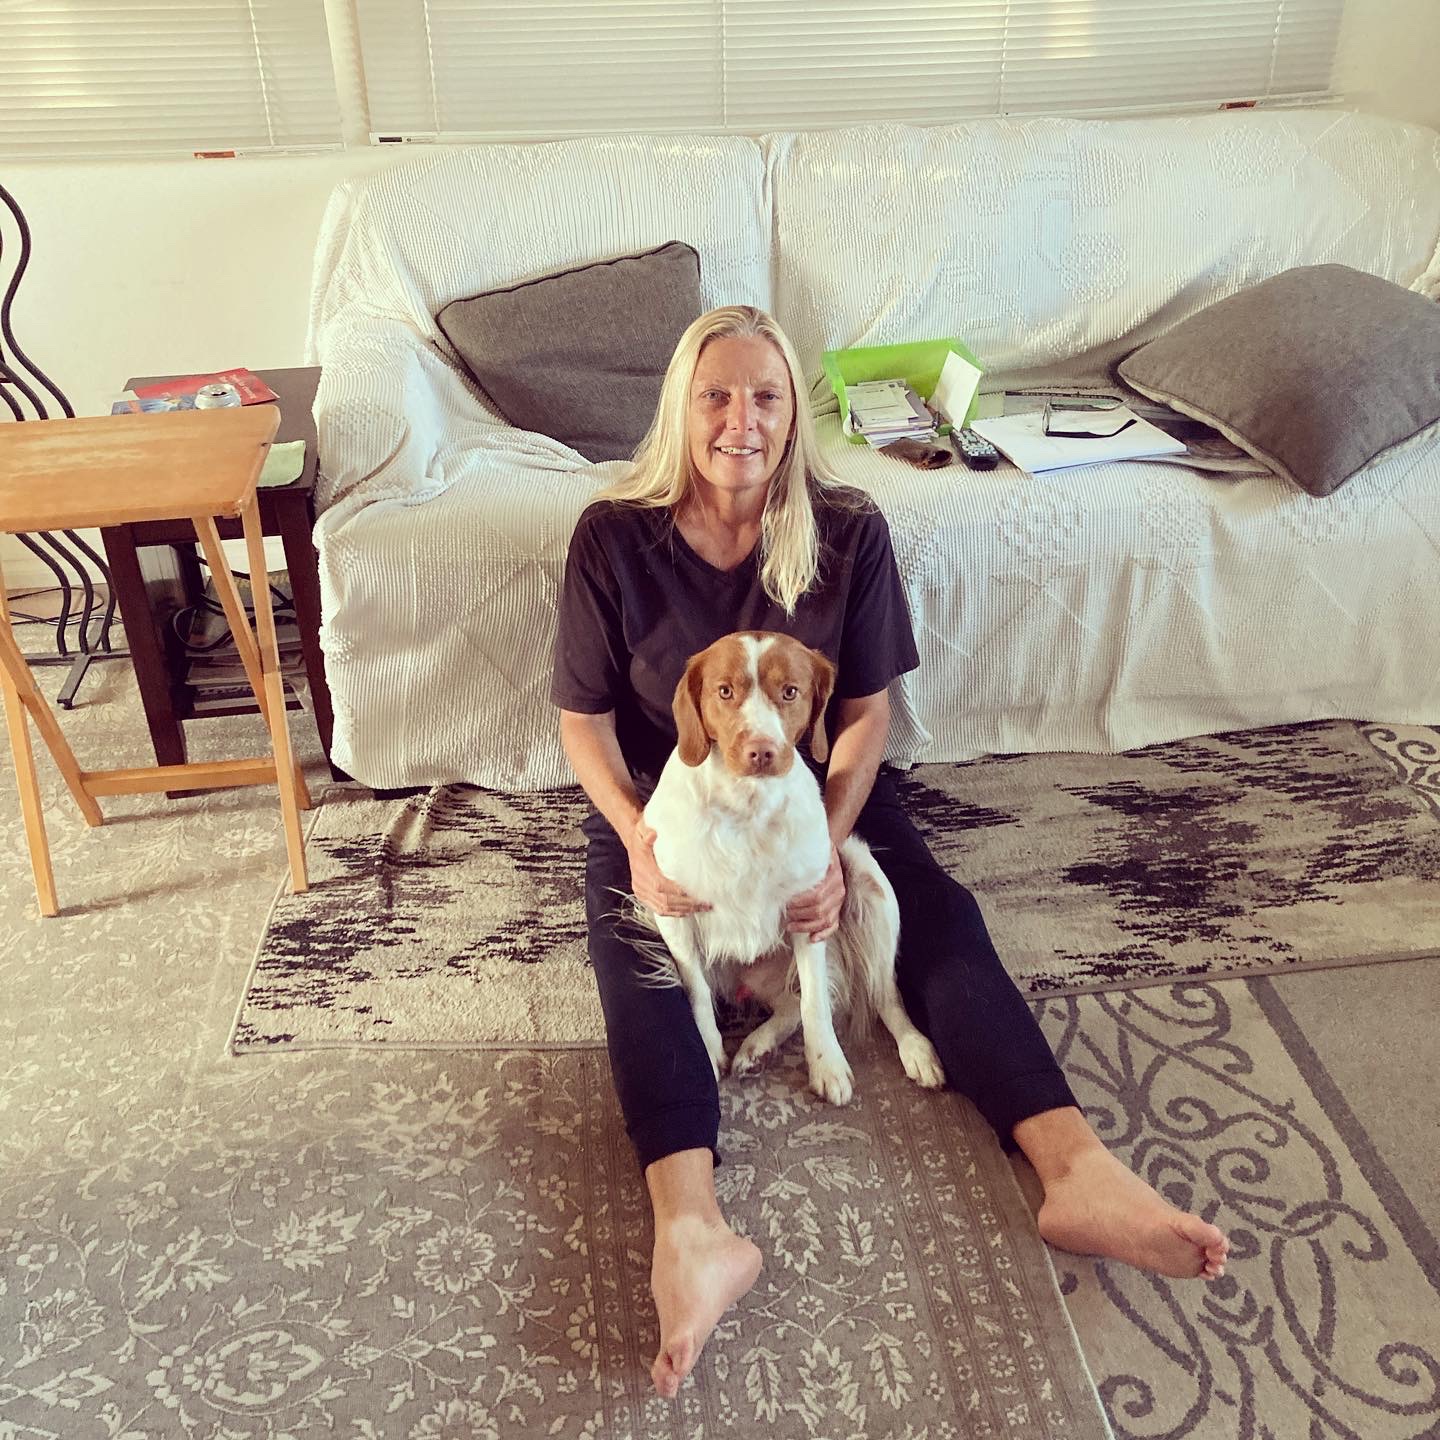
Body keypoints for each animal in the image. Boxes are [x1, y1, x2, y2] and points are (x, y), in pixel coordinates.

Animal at [640, 630, 945, 1105]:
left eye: (790, 692)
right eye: (724, 691)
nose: (761, 752)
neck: (744, 805)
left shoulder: (811, 907)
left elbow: (815, 1000)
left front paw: (827, 1064)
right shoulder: (673, 909)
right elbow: (697, 993)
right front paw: (708, 1051)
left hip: (866, 878)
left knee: (879, 992)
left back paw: (915, 1048)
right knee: (787, 1003)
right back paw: (756, 1046)